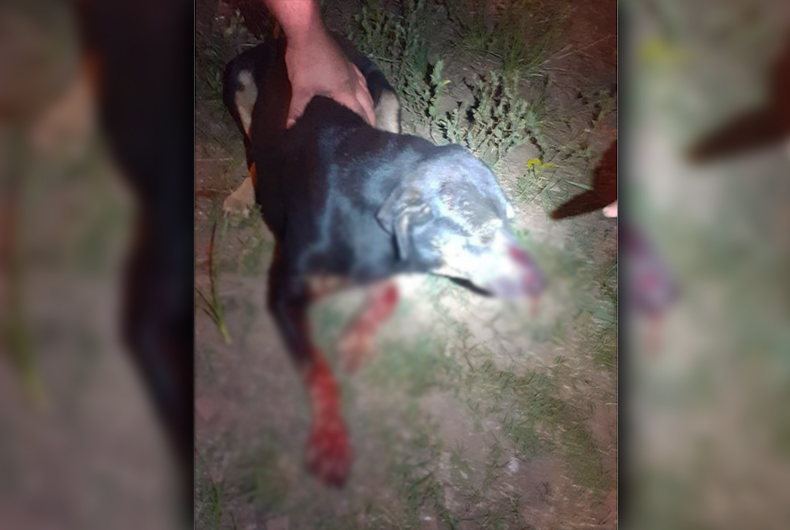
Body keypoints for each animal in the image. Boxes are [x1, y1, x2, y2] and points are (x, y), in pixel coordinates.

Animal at [223, 34, 547, 486]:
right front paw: (331, 442)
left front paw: (356, 343)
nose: (541, 284)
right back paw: (240, 196)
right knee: (252, 151)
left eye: (512, 223)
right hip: (239, 81)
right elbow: (319, 373)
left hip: (387, 97)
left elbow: (384, 298)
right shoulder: (285, 292)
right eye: (482, 234)